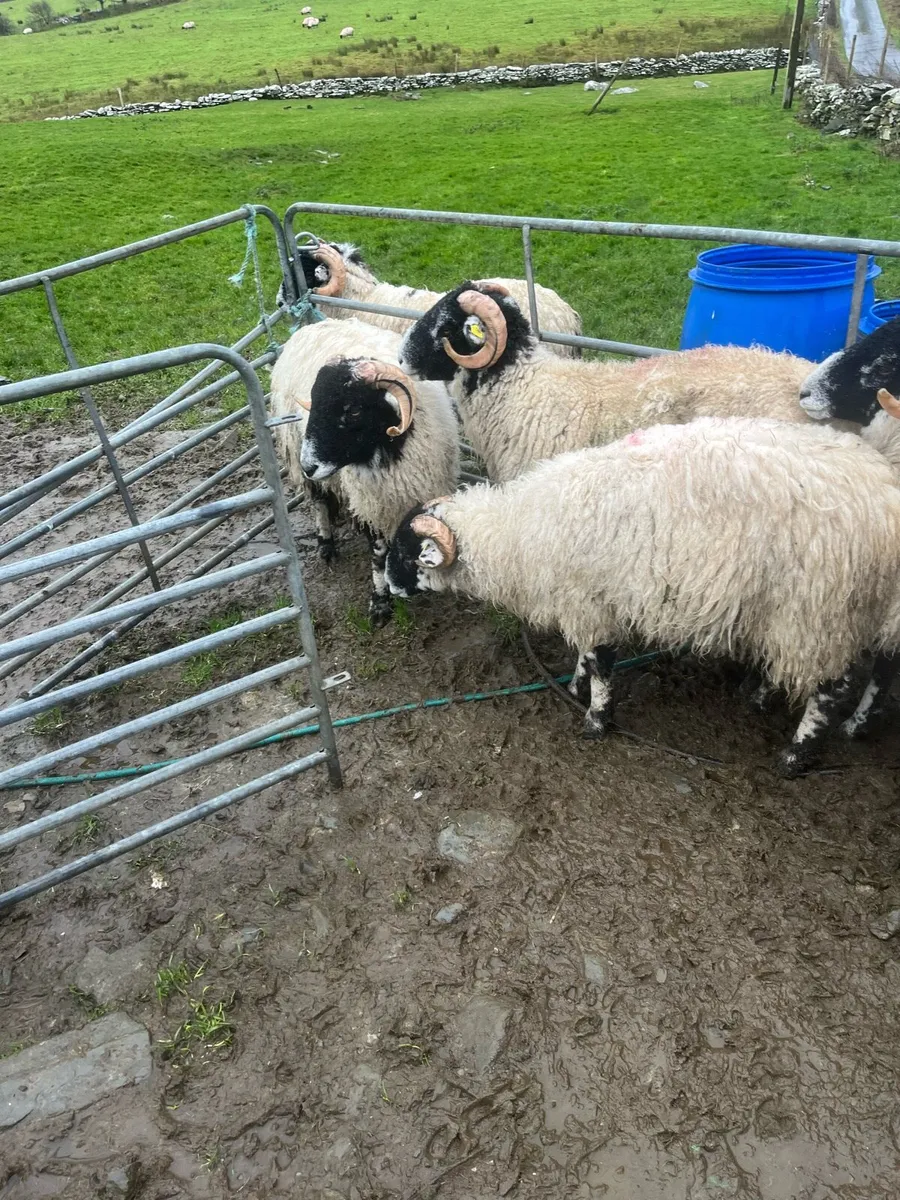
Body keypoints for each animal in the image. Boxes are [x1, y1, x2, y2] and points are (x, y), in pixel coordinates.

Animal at [269, 317, 459, 624]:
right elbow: (379, 555)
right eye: (314, 401)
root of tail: (314, 324)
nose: (309, 465)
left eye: (354, 410)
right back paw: (326, 544)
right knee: (320, 501)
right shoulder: (373, 506)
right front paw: (380, 602)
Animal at [384, 414, 900, 775]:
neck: (519, 530)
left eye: (409, 554)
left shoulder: (591, 600)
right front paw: (576, 686)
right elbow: (586, 657)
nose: (387, 588)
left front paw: (595, 720)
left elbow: (602, 664)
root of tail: (886, 500)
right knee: (882, 667)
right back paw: (839, 721)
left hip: (820, 609)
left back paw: (796, 755)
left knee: (832, 687)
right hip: (850, 608)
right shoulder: (587, 599)